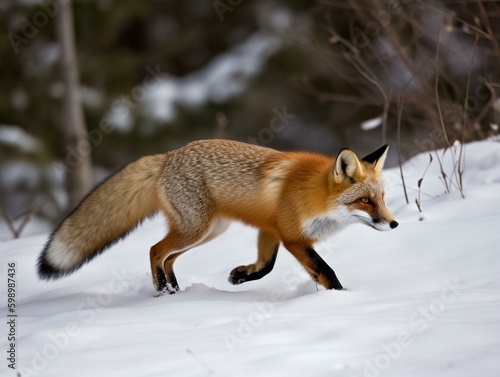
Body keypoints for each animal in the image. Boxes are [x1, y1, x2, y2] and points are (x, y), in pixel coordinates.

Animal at [38, 139, 398, 294]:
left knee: (168, 257)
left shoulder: (271, 230)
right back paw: (162, 290)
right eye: (365, 201)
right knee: (155, 250)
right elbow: (325, 269)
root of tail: (168, 155)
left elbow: (266, 266)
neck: (315, 197)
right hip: (196, 229)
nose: (394, 223)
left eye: (381, 198)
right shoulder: (292, 236)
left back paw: (175, 289)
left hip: (209, 231)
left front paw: (239, 276)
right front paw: (340, 298)